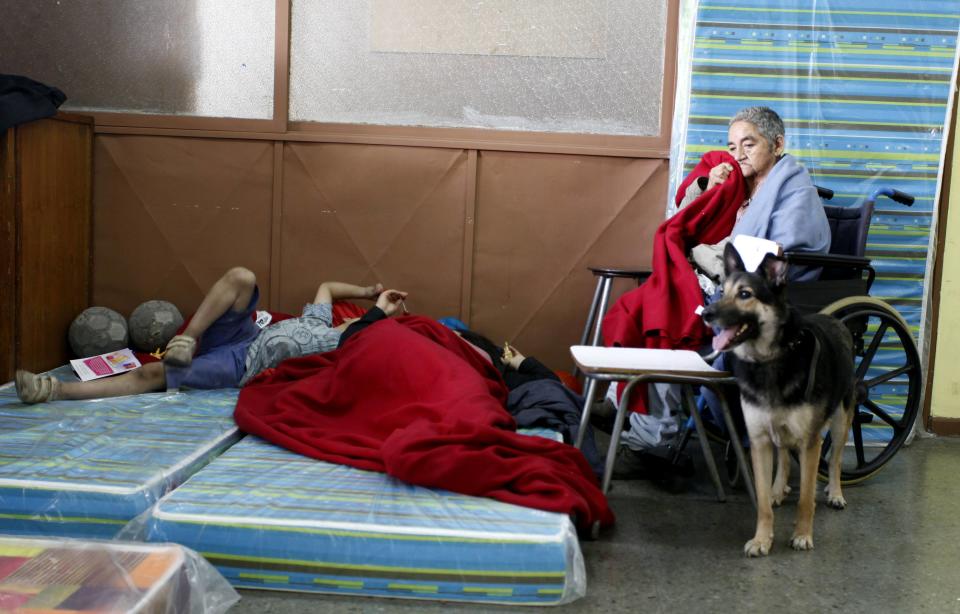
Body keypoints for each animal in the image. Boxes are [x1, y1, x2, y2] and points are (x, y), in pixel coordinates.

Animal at [696, 244, 856, 560]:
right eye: (723, 291)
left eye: (745, 294)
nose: (706, 314)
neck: (769, 359)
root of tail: (835, 319)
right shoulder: (759, 441)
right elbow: (762, 502)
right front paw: (762, 538)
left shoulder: (810, 443)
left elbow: (806, 498)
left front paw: (802, 535)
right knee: (783, 456)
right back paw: (778, 489)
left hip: (841, 421)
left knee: (835, 460)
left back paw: (835, 493)